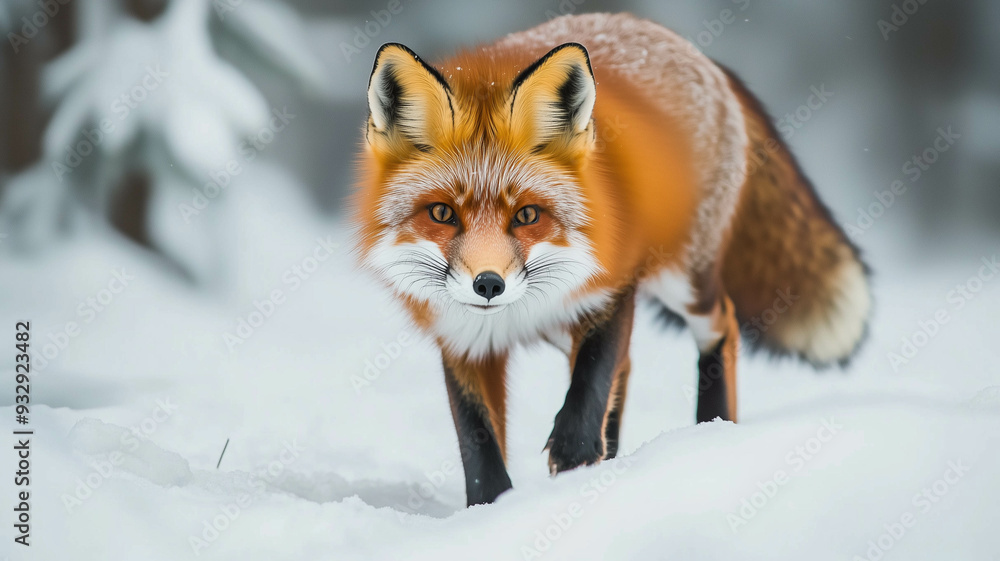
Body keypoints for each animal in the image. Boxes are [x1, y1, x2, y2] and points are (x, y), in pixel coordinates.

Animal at [353, 13, 870, 507]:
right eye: (442, 213)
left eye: (527, 215)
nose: (488, 284)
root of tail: (698, 54)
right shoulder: (462, 338)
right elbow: (477, 444)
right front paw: (491, 510)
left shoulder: (612, 287)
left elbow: (592, 381)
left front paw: (575, 460)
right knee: (629, 367)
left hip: (681, 280)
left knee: (720, 324)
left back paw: (711, 432)